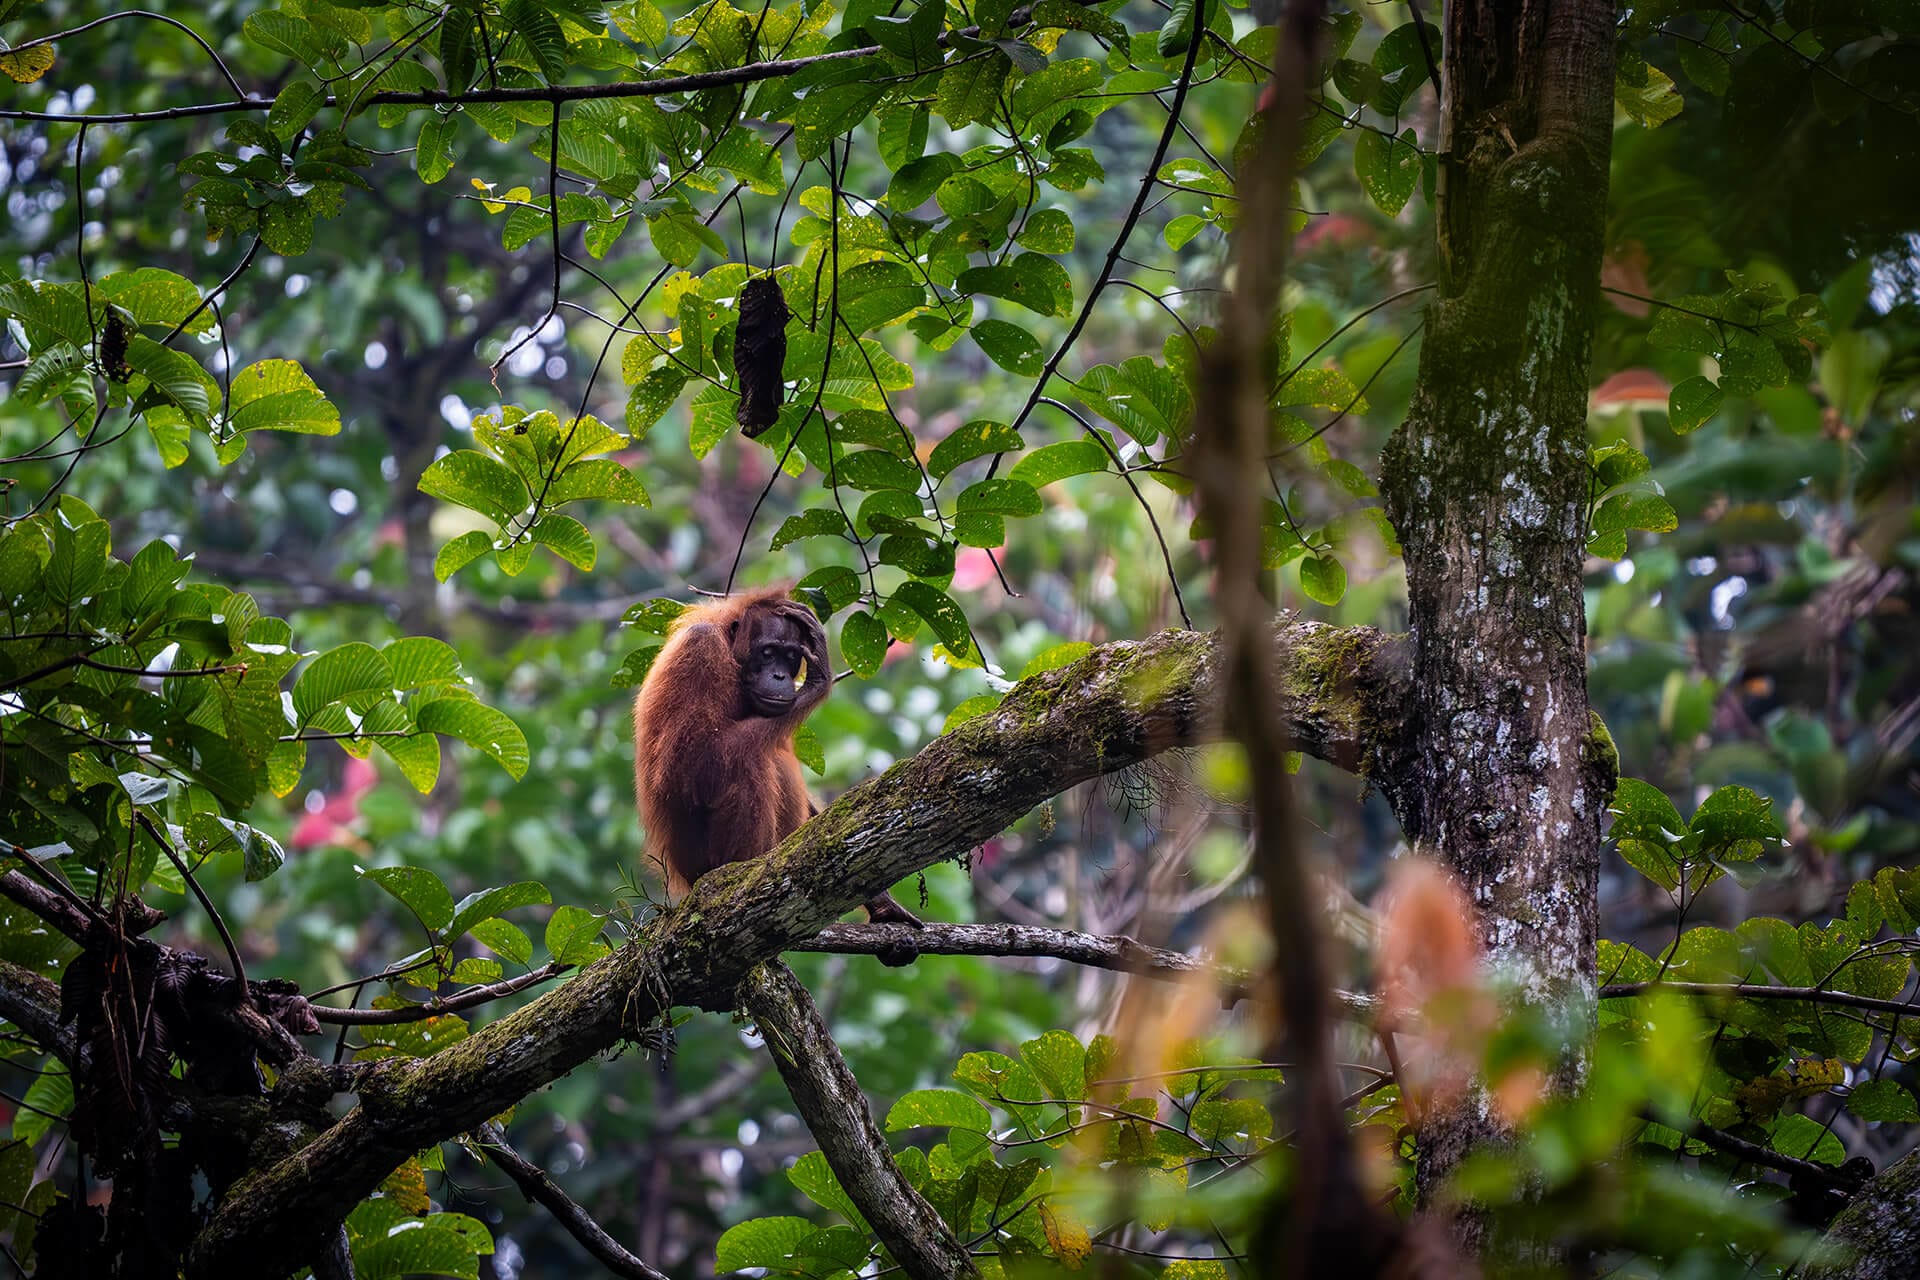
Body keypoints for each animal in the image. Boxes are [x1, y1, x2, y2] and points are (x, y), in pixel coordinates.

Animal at [633, 586, 922, 928]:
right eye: (768, 653)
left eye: (791, 656)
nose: (781, 677)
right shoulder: (698, 651)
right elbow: (689, 761)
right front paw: (818, 681)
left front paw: (883, 903)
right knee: (749, 764)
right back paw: (734, 874)